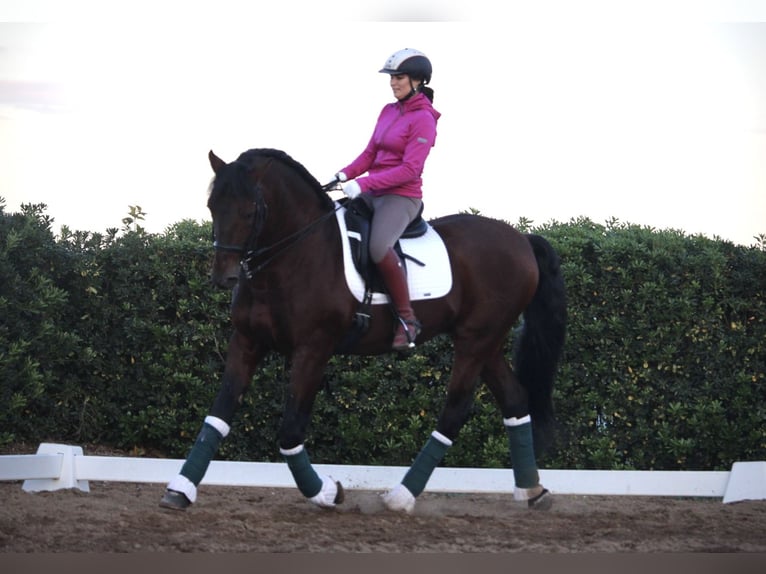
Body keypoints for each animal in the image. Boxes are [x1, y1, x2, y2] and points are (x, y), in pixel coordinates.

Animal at [160, 147, 568, 512]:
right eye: (213, 207)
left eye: (250, 211)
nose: (224, 276)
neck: (294, 254)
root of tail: (521, 240)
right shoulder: (246, 342)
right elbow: (217, 416)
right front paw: (179, 490)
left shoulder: (313, 350)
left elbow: (290, 431)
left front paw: (326, 492)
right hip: (486, 341)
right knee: (515, 400)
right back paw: (531, 491)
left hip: (475, 341)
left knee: (454, 412)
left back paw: (401, 496)